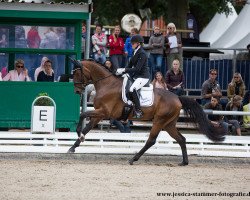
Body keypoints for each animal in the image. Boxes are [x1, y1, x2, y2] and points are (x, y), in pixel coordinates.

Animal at [67, 59, 226, 166]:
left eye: (77, 74)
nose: (77, 91)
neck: (107, 84)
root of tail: (177, 98)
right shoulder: (99, 114)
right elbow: (87, 127)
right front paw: (73, 146)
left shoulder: (104, 112)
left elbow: (82, 115)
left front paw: (78, 134)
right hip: (169, 124)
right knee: (181, 139)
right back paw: (184, 162)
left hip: (159, 121)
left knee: (151, 140)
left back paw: (133, 159)